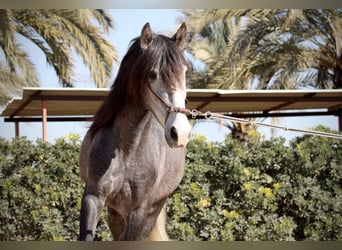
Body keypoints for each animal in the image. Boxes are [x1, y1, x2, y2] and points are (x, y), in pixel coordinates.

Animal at [80, 23, 192, 240]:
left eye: (185, 72)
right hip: (115, 210)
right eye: (152, 74)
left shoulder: (140, 211)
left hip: (153, 209)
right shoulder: (93, 197)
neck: (127, 148)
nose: (180, 132)